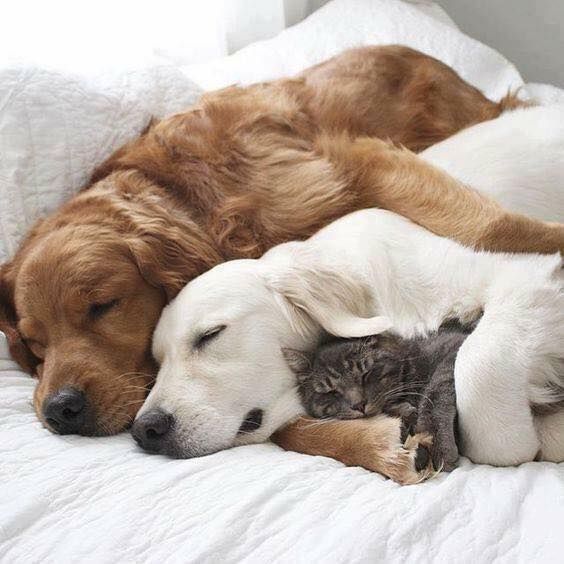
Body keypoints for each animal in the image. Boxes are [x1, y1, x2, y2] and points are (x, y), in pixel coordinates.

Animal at [282, 322, 476, 472]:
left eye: (365, 374)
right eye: (330, 392)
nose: (359, 405)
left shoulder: (454, 346)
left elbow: (434, 393)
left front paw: (435, 440)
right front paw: (402, 412)